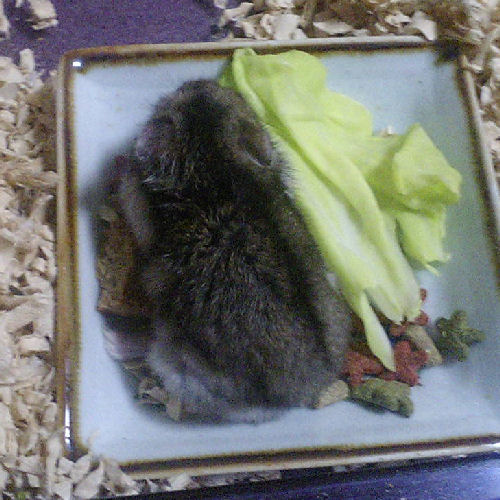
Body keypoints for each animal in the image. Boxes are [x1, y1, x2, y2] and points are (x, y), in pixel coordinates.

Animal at [115, 79, 352, 423]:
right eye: (237, 96)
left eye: (172, 104)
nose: (192, 82)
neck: (216, 160)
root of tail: (301, 394)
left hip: (176, 364)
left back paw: (116, 340)